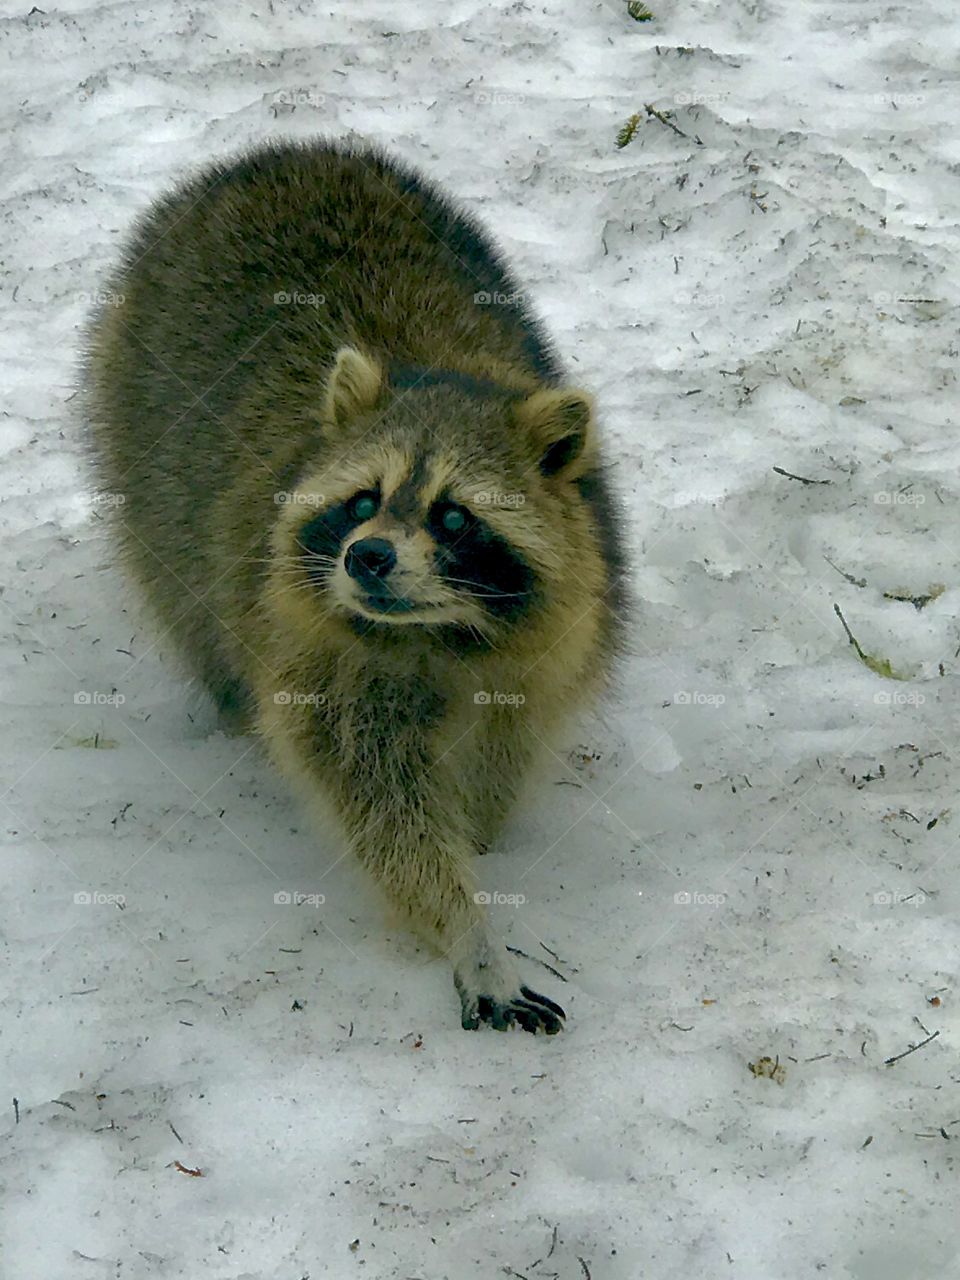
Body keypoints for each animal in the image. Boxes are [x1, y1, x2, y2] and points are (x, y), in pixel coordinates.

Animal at [83, 139, 627, 1033]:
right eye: (363, 502)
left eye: (452, 517)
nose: (366, 559)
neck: (439, 634)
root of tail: (277, 151)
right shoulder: (316, 652)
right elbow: (381, 805)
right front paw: (464, 923)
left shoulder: (555, 631)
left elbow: (505, 744)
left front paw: (481, 834)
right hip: (136, 427)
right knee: (183, 580)